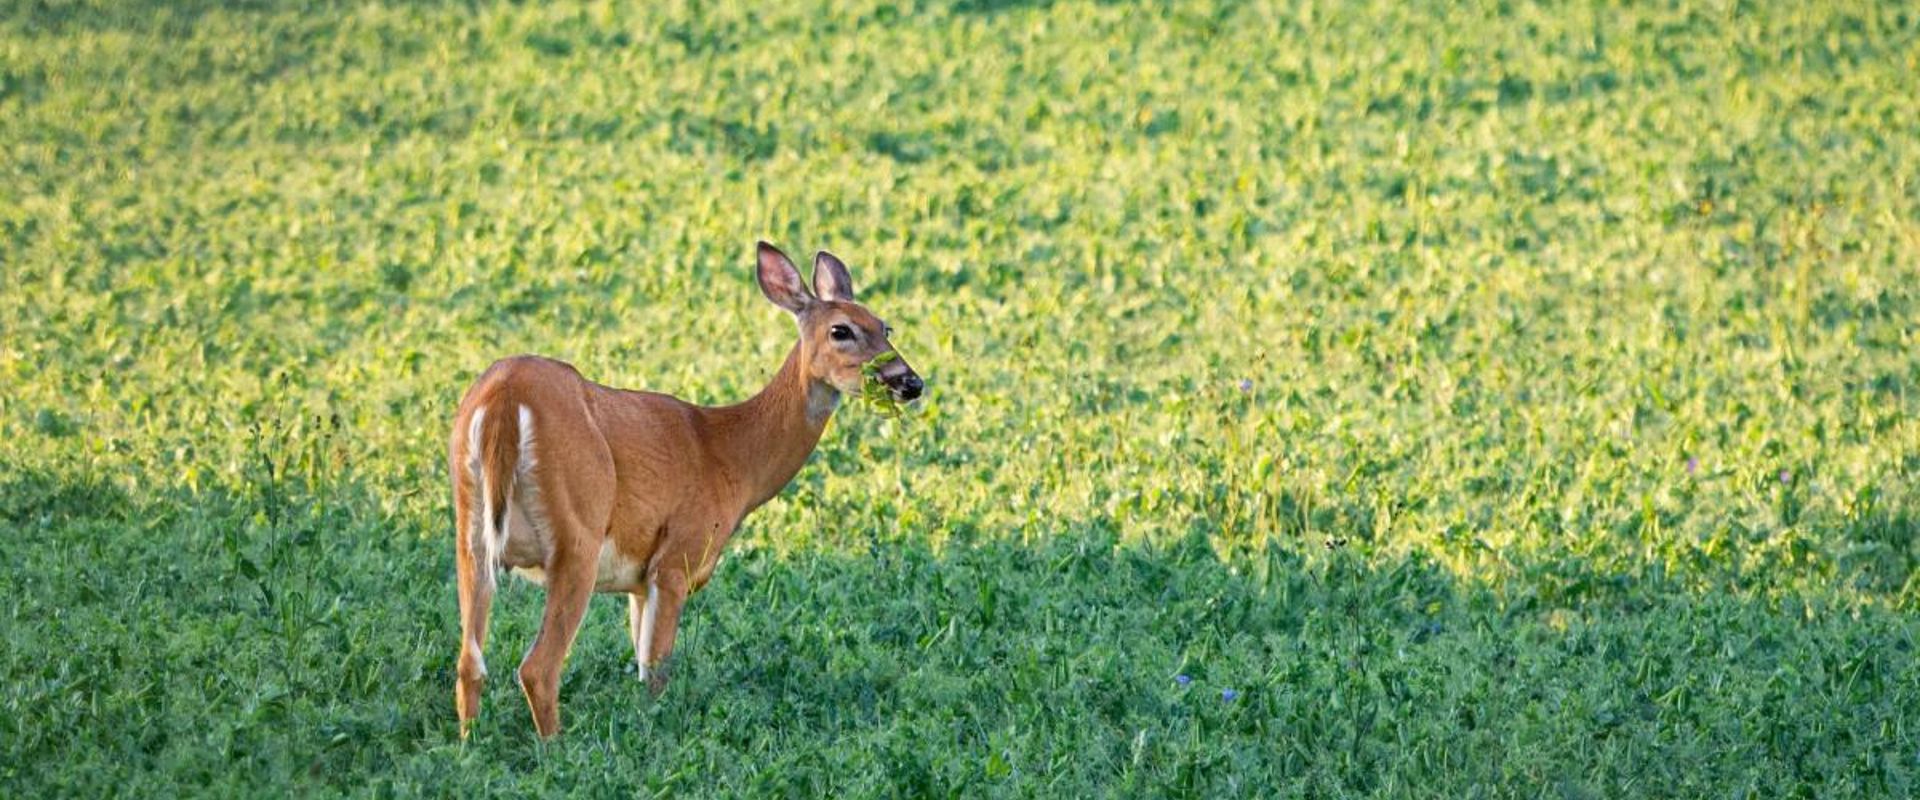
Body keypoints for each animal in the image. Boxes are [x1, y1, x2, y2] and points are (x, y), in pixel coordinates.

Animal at [447, 241, 923, 738]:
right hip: (577, 530)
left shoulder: (638, 582)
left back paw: (469, 744)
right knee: (538, 668)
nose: (910, 382)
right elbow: (657, 671)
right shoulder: (676, 558)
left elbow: (640, 665)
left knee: (468, 662)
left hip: (471, 531)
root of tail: (504, 398)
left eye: (885, 326)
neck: (729, 458)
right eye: (840, 330)